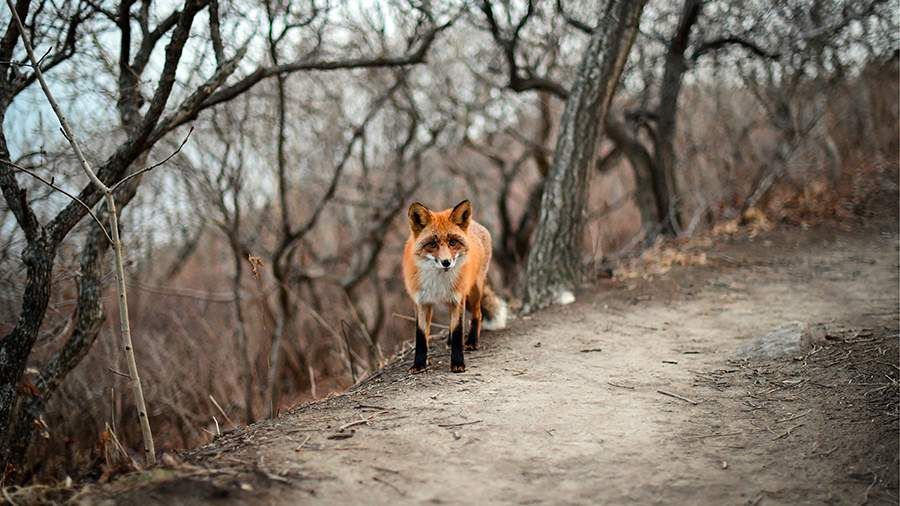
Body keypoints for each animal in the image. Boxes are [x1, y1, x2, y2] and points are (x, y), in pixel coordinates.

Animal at [402, 201, 506, 372]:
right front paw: (419, 364)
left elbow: (458, 331)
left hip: (474, 290)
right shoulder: (422, 302)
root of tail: (475, 224)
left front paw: (458, 363)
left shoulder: (458, 299)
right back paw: (450, 341)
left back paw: (471, 342)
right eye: (432, 244)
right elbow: (421, 335)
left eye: (452, 242)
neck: (438, 281)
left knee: (478, 314)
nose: (446, 262)